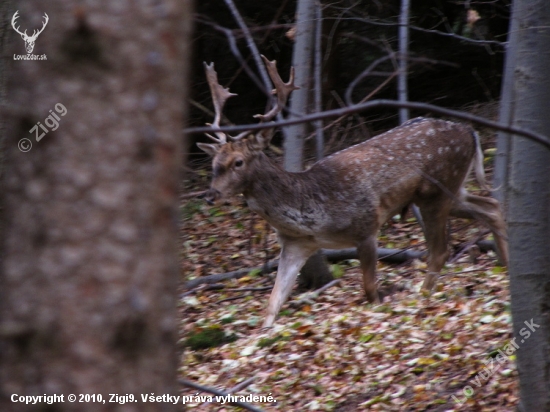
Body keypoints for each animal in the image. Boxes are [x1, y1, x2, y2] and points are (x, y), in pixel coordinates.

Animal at [197, 57, 508, 328]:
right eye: (214, 164)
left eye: (238, 162)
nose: (210, 195)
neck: (311, 214)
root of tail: (470, 131)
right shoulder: (296, 245)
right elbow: (273, 304)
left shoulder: (366, 226)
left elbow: (370, 290)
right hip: (451, 190)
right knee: (491, 206)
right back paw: (504, 268)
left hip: (437, 191)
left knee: (440, 250)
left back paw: (423, 296)